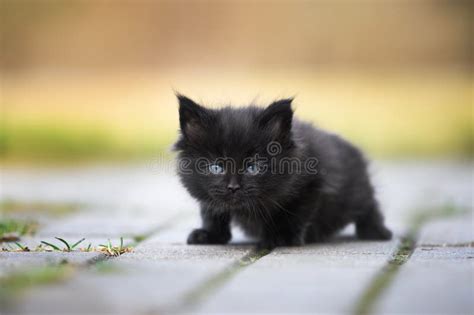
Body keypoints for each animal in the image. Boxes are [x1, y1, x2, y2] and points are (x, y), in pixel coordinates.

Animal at [174, 94, 392, 249]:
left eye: (253, 167)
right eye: (216, 167)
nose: (233, 187)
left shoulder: (311, 185)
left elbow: (293, 214)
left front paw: (281, 237)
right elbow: (211, 211)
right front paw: (210, 235)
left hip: (355, 193)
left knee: (369, 205)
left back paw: (376, 231)